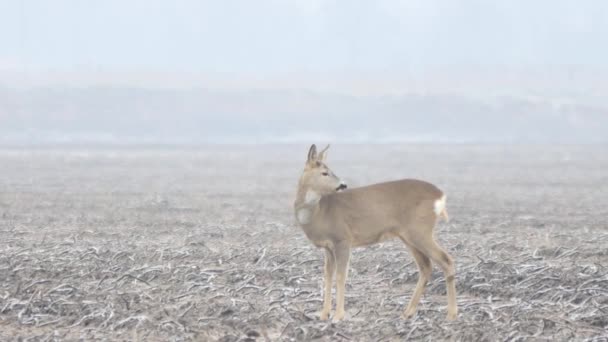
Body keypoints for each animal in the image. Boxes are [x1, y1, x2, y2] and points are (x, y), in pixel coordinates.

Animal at [294, 144, 456, 320]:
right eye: (324, 172)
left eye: (329, 170)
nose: (343, 185)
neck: (319, 213)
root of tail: (440, 195)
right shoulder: (328, 247)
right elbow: (328, 276)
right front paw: (324, 314)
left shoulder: (342, 239)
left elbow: (341, 276)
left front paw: (338, 316)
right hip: (408, 236)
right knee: (426, 266)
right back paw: (408, 312)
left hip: (420, 230)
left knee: (446, 260)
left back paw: (451, 314)